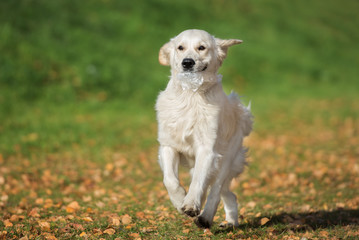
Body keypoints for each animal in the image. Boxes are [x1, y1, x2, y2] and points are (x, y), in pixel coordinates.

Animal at [155, 29, 253, 228]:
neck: (190, 94)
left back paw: (206, 218)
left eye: (202, 47)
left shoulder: (207, 149)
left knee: (216, 190)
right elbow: (169, 180)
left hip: (227, 159)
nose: (187, 62)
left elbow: (198, 181)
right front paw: (179, 200)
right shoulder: (168, 145)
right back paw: (230, 222)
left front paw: (190, 204)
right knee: (229, 194)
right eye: (180, 47)